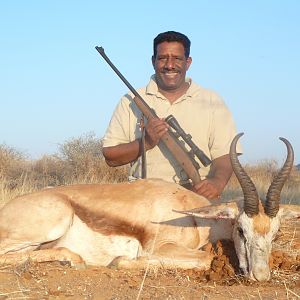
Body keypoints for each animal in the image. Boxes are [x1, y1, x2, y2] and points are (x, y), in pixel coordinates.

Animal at [0, 134, 298, 282]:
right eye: (241, 229)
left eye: (275, 234)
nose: (261, 276)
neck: (194, 218)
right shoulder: (161, 248)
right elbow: (204, 258)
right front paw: (120, 261)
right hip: (55, 222)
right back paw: (71, 259)